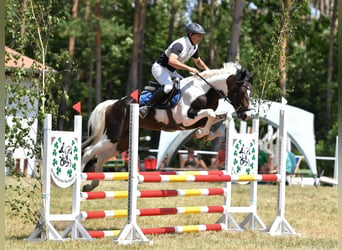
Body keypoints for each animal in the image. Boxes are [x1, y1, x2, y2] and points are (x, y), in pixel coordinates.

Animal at [80, 62, 252, 191]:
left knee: (101, 157)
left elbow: (222, 117)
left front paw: (208, 134)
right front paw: (202, 133)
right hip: (112, 136)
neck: (204, 91)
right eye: (240, 92)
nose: (246, 115)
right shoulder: (186, 118)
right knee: (89, 151)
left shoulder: (199, 118)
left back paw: (91, 185)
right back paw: (79, 176)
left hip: (121, 141)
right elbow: (210, 114)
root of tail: (113, 104)